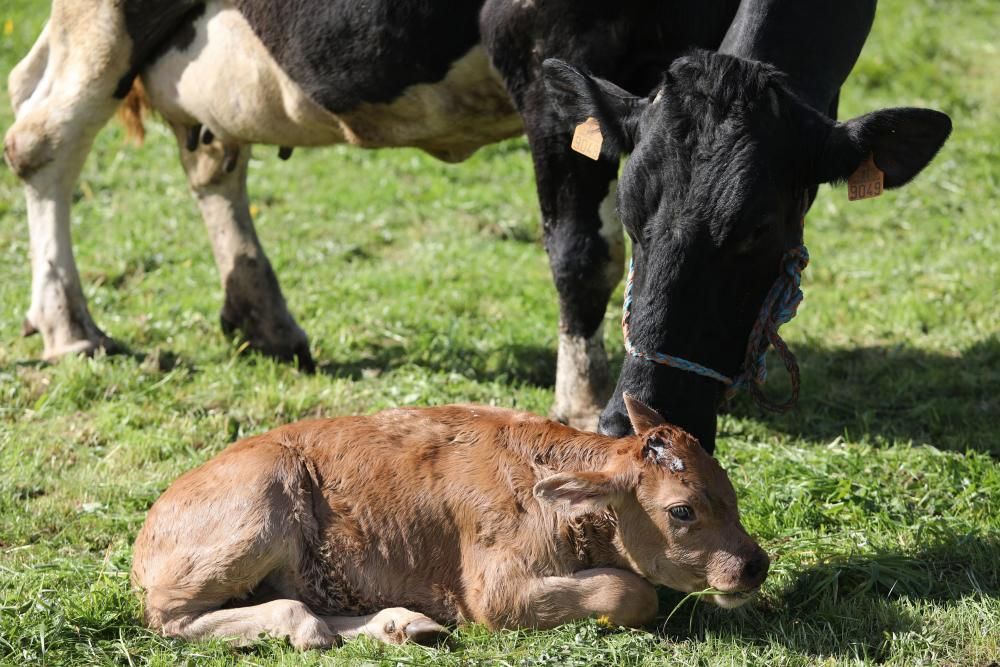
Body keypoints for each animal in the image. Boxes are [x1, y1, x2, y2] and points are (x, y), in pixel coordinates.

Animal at [3, 1, 948, 448]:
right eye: (639, 216)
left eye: (757, 230)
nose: (643, 420)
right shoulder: (553, 51)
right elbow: (580, 253)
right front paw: (581, 401)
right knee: (41, 131)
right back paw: (69, 325)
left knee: (206, 149)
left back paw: (263, 316)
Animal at [133, 396, 768, 648]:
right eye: (682, 510)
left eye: (729, 489)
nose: (754, 565)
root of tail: (148, 532)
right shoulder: (496, 593)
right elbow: (632, 591)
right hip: (260, 504)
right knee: (171, 616)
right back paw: (307, 628)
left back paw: (403, 624)